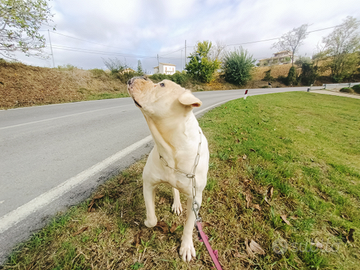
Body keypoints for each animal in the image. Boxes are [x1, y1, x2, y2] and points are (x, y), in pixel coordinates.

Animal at [128, 76, 210, 262]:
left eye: (162, 85)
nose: (137, 77)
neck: (172, 148)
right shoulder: (148, 183)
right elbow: (152, 218)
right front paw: (147, 222)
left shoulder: (196, 197)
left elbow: (189, 225)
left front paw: (186, 246)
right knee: (174, 189)